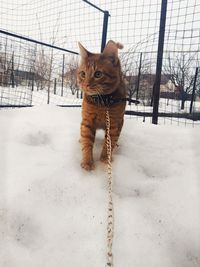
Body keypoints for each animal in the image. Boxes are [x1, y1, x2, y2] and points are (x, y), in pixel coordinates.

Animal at [77, 40, 126, 172]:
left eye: (98, 74)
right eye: (83, 74)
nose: (85, 85)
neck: (102, 102)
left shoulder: (113, 124)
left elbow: (109, 142)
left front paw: (105, 158)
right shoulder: (87, 121)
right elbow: (87, 142)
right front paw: (87, 162)